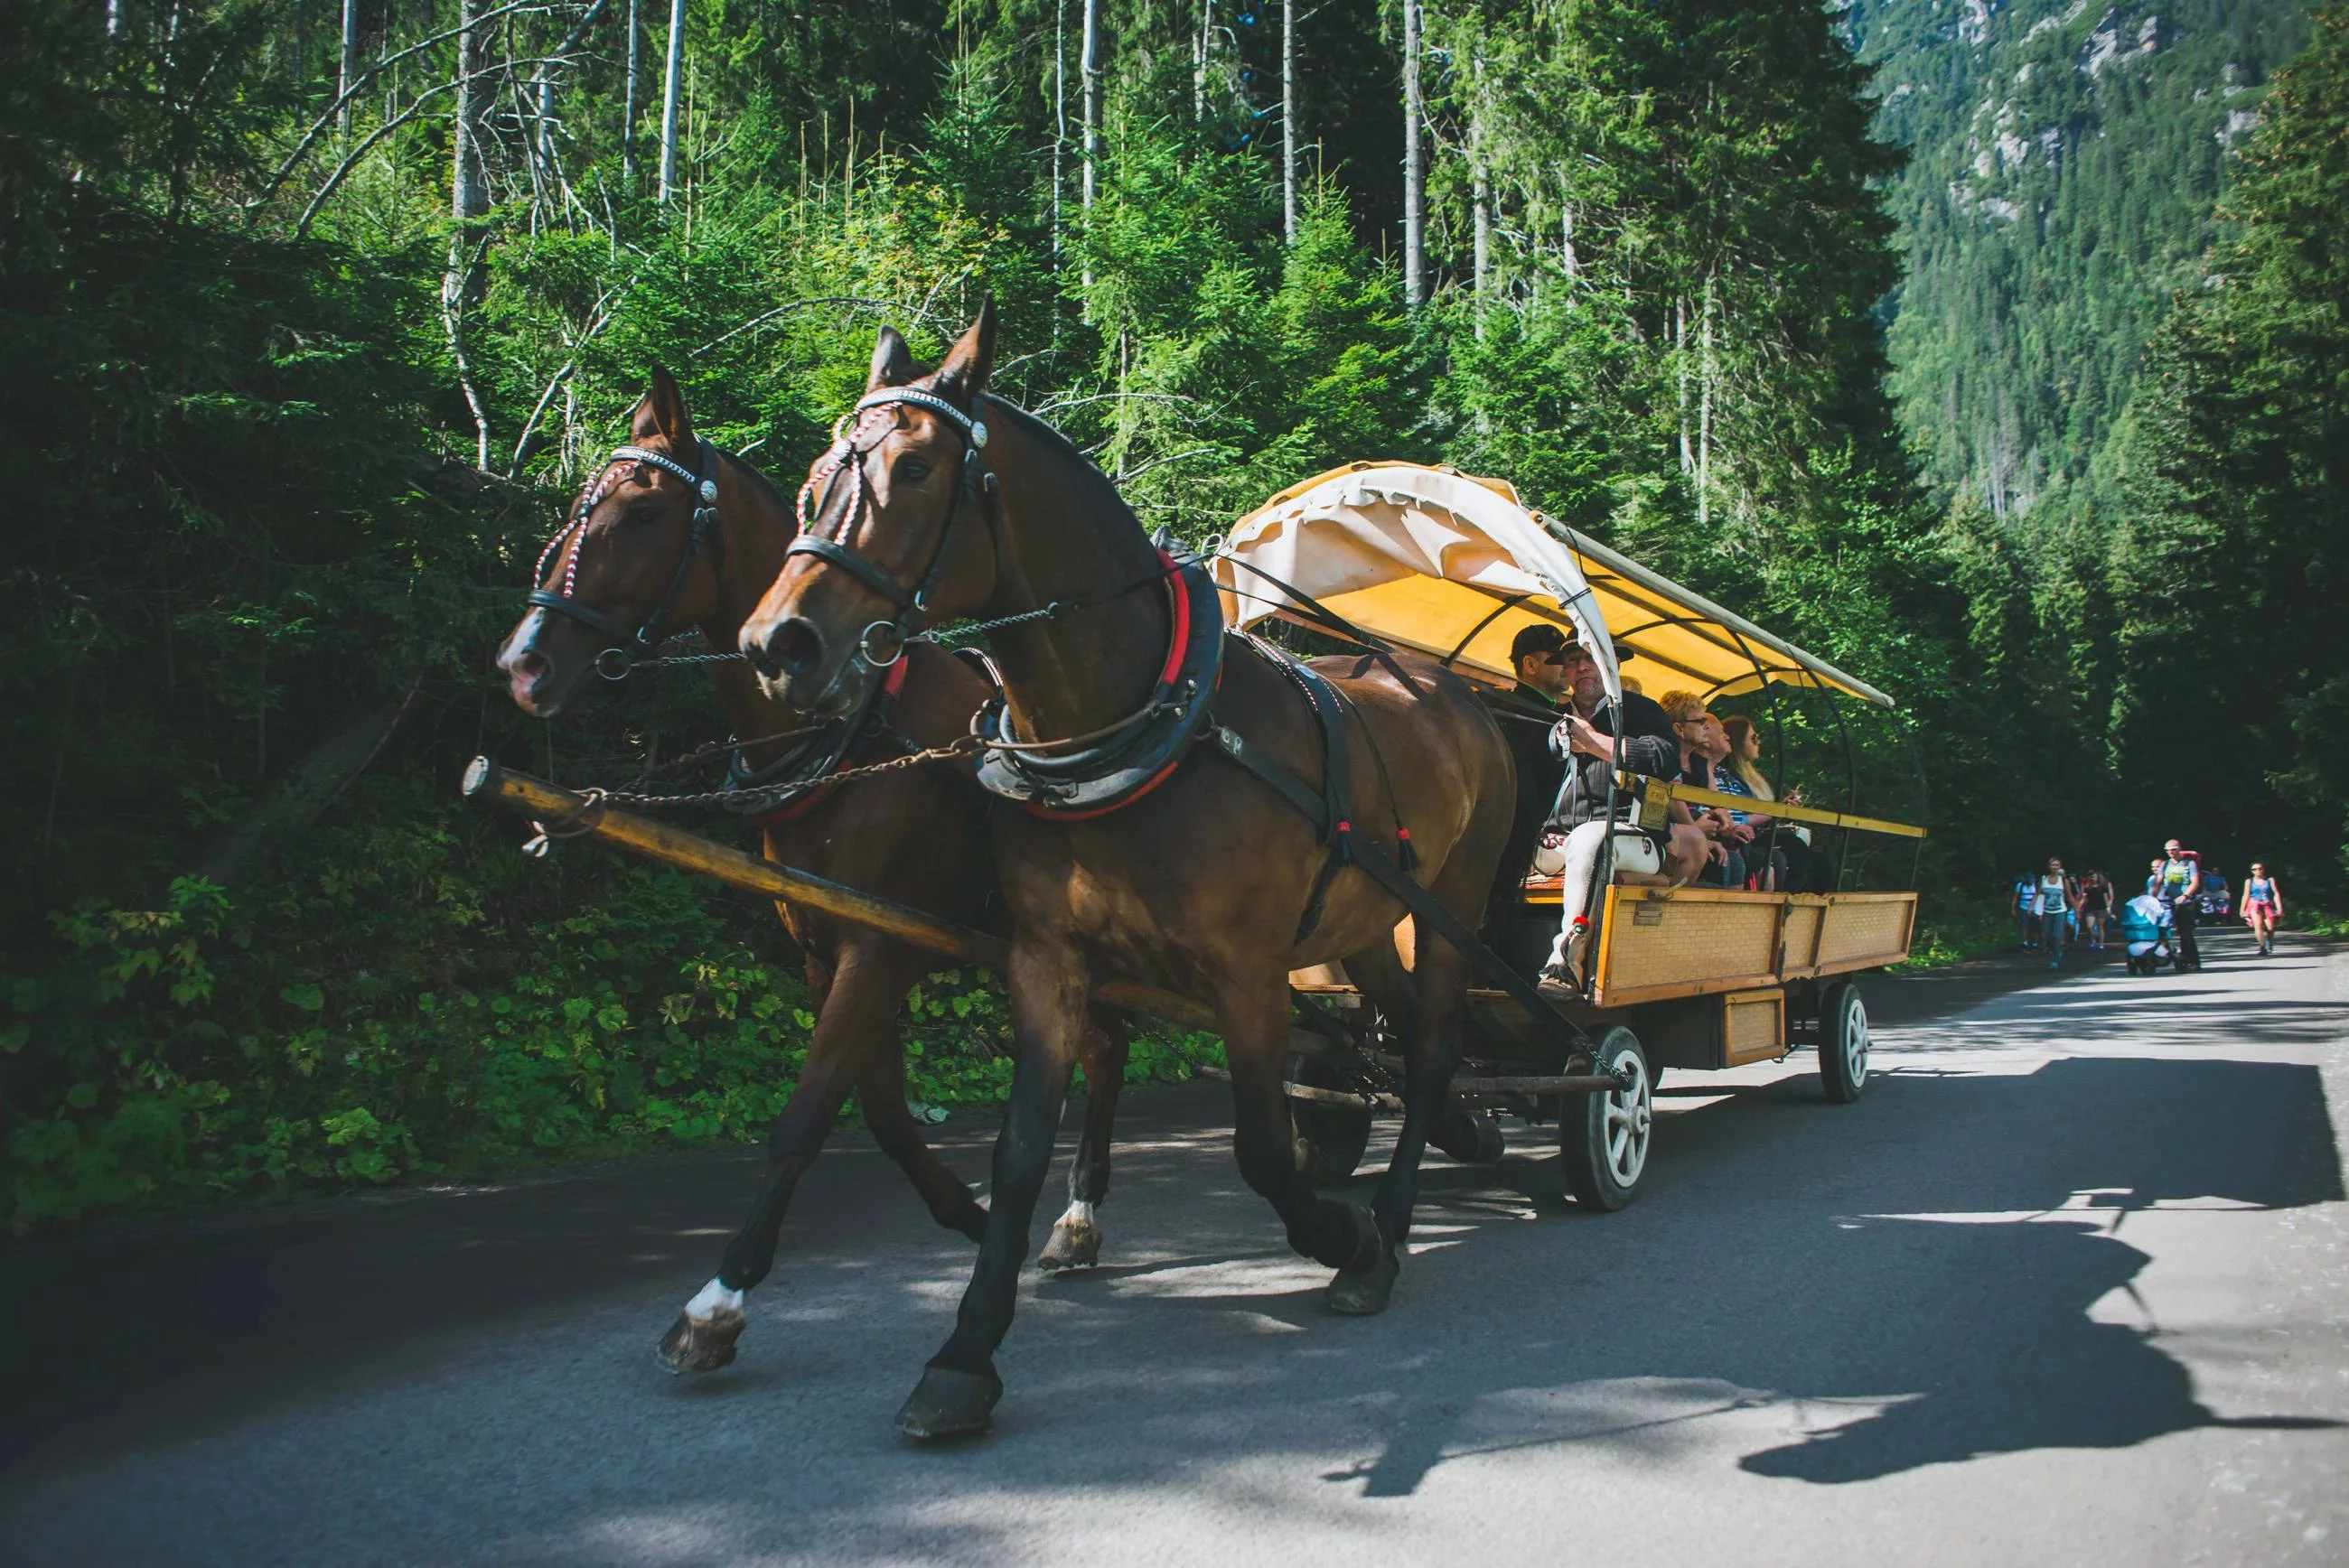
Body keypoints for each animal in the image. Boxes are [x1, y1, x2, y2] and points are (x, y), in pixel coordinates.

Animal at [493, 363, 1128, 1370]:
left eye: (643, 511)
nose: (522, 663)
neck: (851, 735)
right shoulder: (829, 946)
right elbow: (881, 1110)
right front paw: (968, 1213)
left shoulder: (881, 949)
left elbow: (804, 1116)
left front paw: (719, 1297)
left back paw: (1081, 1212)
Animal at [742, 300, 1512, 1436]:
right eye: (815, 471)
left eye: (916, 469)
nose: (776, 641)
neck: (1134, 727)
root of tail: (1452, 688)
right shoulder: (1047, 961)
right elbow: (1019, 1149)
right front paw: (963, 1352)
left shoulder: (1245, 973)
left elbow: (1260, 1148)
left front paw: (1341, 1233)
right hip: (1367, 922)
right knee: (1404, 1032)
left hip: (1451, 903)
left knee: (1425, 1052)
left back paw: (1388, 1226)